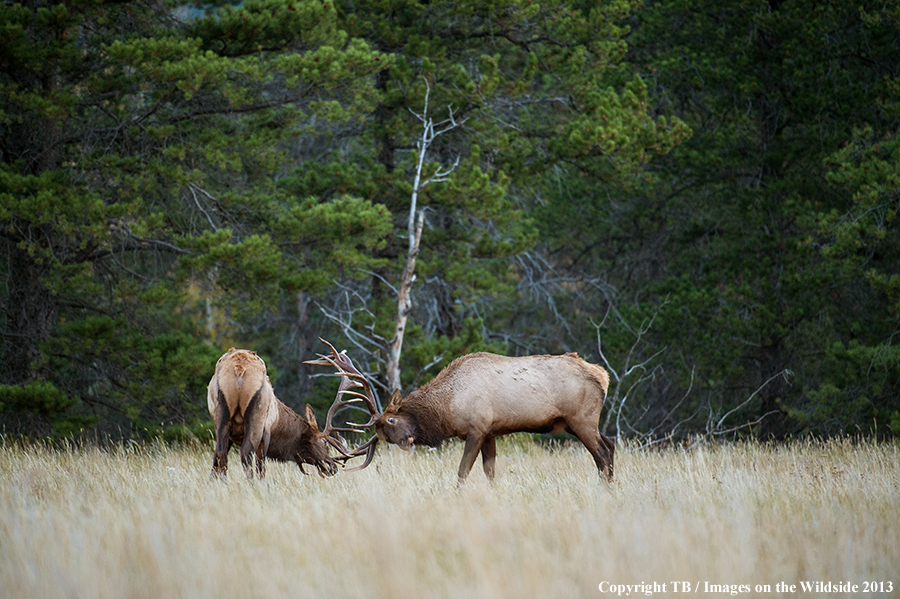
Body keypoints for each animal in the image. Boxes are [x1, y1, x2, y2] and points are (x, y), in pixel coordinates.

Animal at [208, 346, 344, 478]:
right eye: (324, 441)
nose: (333, 467)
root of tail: (239, 368)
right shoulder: (266, 432)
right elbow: (261, 468)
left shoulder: (231, 435)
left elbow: (215, 464)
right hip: (257, 419)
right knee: (245, 453)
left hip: (221, 417)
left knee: (220, 454)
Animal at [306, 342, 616, 482]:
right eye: (382, 435)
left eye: (391, 419)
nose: (406, 442)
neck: (447, 409)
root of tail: (603, 375)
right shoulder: (491, 432)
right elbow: (490, 472)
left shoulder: (477, 428)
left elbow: (462, 471)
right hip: (580, 422)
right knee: (610, 446)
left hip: (581, 418)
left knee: (601, 454)